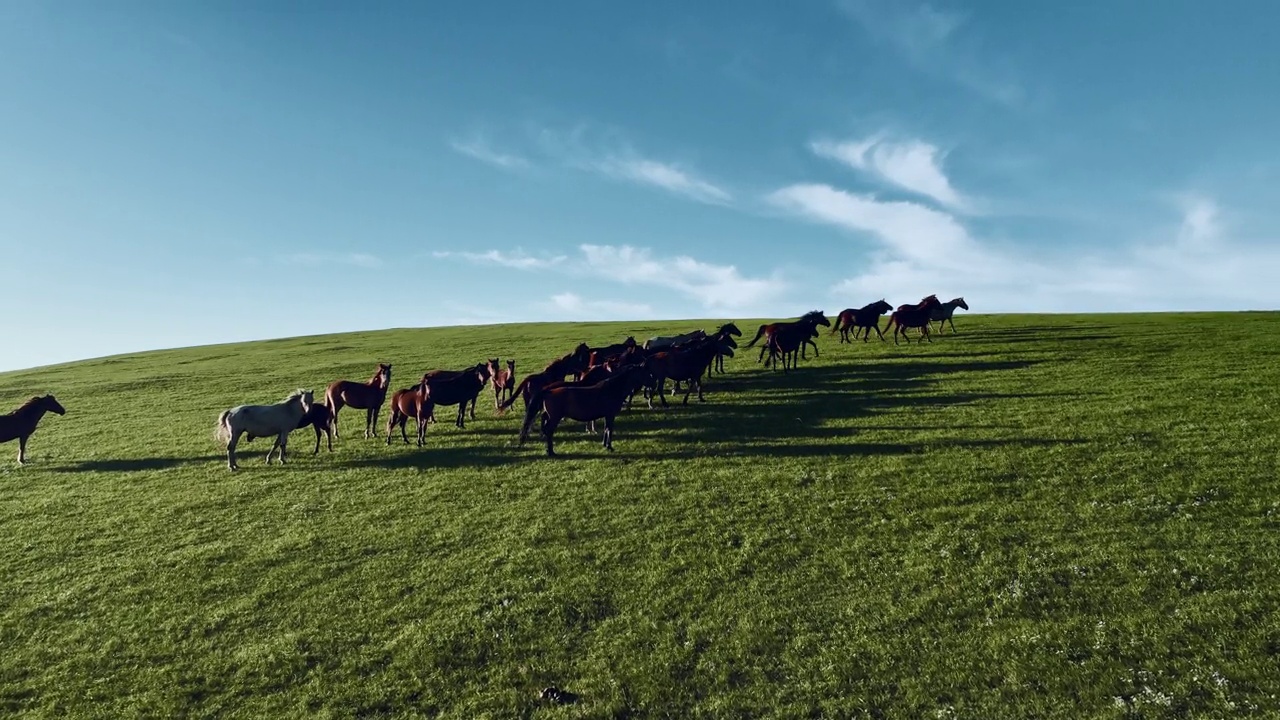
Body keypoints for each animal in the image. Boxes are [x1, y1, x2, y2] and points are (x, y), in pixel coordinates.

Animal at [519, 363, 655, 453]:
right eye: (644, 372)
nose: (653, 383)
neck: (612, 389)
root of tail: (547, 391)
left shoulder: (606, 415)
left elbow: (606, 429)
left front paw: (604, 444)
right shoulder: (610, 415)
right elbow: (609, 429)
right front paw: (609, 447)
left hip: (548, 415)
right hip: (555, 418)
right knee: (549, 430)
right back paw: (550, 451)